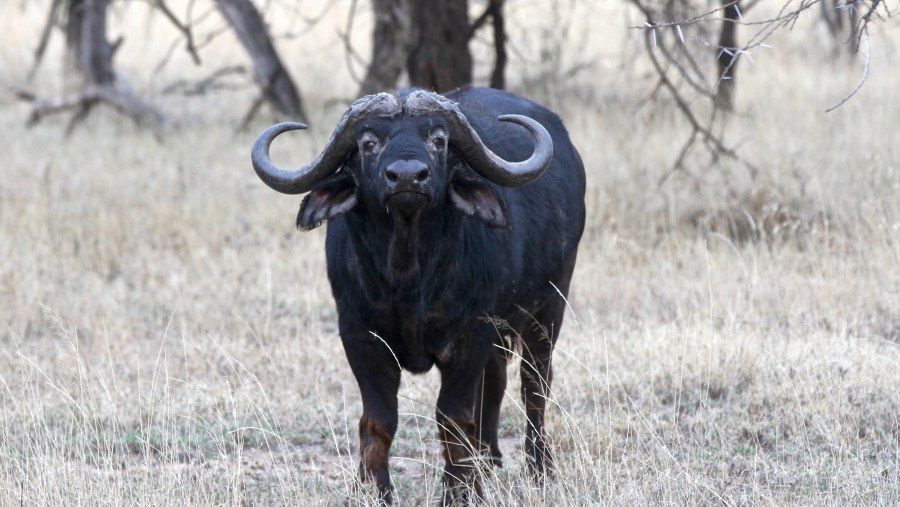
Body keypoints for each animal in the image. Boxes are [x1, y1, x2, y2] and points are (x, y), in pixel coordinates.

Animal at [250, 86, 588, 504]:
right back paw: (488, 460)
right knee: (496, 382)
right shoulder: (359, 336)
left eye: (438, 140)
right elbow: (378, 419)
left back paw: (539, 468)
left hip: (549, 309)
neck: (408, 279)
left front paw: (459, 491)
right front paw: (374, 488)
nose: (408, 177)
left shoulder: (471, 333)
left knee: (534, 385)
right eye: (368, 143)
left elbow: (453, 416)